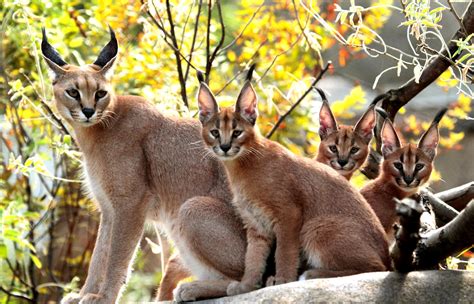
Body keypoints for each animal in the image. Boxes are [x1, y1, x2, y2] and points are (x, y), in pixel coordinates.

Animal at [41, 27, 248, 302]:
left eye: (100, 93)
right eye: (73, 92)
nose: (88, 111)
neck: (95, 131)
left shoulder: (130, 203)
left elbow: (118, 256)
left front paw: (104, 297)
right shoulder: (109, 207)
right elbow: (99, 254)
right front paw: (85, 294)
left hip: (192, 208)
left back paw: (191, 289)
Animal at [196, 69, 388, 296]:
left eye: (237, 132)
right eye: (215, 132)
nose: (225, 147)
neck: (241, 166)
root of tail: (387, 251)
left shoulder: (289, 213)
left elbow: (284, 252)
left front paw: (283, 280)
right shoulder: (256, 223)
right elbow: (253, 257)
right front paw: (247, 285)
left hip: (316, 226)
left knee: (376, 268)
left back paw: (312, 274)